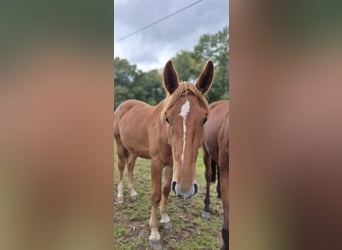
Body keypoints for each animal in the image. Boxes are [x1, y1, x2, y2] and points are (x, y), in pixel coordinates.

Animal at [113, 60, 212, 248]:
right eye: (167, 117)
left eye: (204, 119)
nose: (186, 190)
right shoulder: (156, 163)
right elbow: (156, 195)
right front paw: (154, 234)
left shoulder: (172, 164)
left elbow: (166, 190)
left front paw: (165, 219)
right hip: (120, 145)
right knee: (121, 167)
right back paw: (121, 196)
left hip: (134, 150)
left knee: (130, 167)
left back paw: (133, 193)